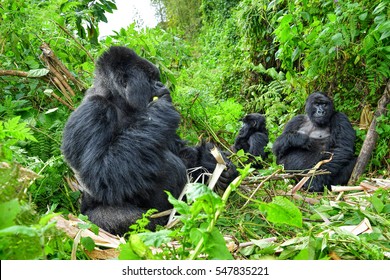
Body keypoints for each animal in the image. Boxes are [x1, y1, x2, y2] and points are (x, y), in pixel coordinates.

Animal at [61, 46, 238, 234]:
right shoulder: (93, 111)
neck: (118, 100)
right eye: (150, 79)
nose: (161, 85)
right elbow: (100, 173)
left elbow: (182, 151)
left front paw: (217, 165)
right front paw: (159, 109)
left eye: (156, 78)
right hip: (87, 221)